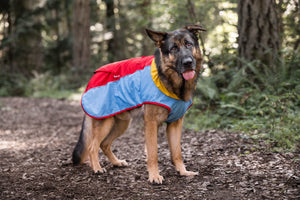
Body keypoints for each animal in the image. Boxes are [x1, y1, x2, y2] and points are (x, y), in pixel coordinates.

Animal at [72, 25, 206, 184]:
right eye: (173, 48)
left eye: (189, 44)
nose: (187, 62)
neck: (169, 79)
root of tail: (92, 78)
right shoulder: (151, 123)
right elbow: (153, 153)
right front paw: (154, 176)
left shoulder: (175, 124)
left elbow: (177, 152)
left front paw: (183, 171)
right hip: (106, 123)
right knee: (93, 146)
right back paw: (97, 168)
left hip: (121, 124)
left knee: (104, 144)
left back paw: (116, 162)